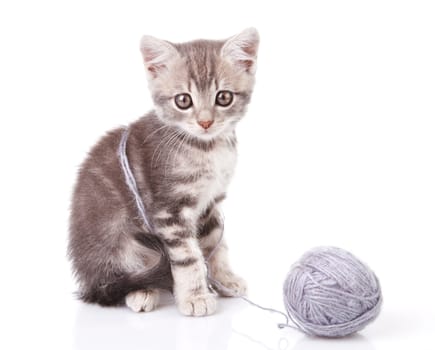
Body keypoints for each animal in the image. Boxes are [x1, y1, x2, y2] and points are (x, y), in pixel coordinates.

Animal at [117, 129, 384, 336]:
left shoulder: (209, 205)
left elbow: (217, 243)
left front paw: (225, 280)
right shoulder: (173, 212)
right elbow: (189, 257)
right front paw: (195, 296)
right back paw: (142, 291)